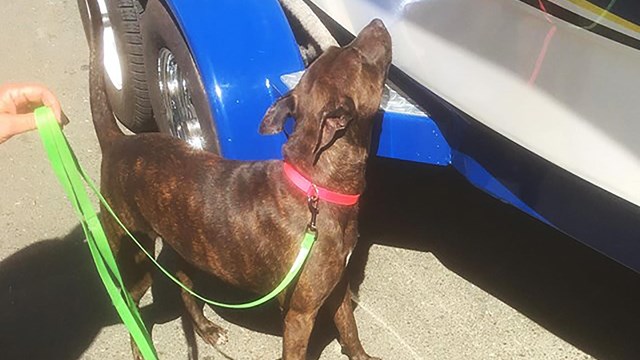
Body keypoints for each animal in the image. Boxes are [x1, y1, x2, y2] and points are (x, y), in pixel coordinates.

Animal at [87, 1, 392, 358]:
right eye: (358, 58)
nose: (376, 22)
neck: (317, 186)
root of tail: (118, 142)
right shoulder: (300, 315)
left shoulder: (338, 285)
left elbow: (349, 328)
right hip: (134, 256)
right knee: (130, 302)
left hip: (185, 249)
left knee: (184, 290)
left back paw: (206, 330)